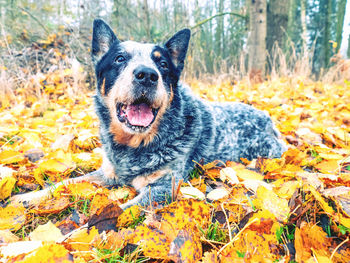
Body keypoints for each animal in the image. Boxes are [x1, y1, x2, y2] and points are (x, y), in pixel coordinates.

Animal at [10, 19, 288, 210]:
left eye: (162, 64)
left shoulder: (164, 187)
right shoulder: (107, 173)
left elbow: (121, 212)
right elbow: (65, 183)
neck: (132, 147)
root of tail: (266, 118)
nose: (147, 74)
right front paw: (27, 196)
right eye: (119, 58)